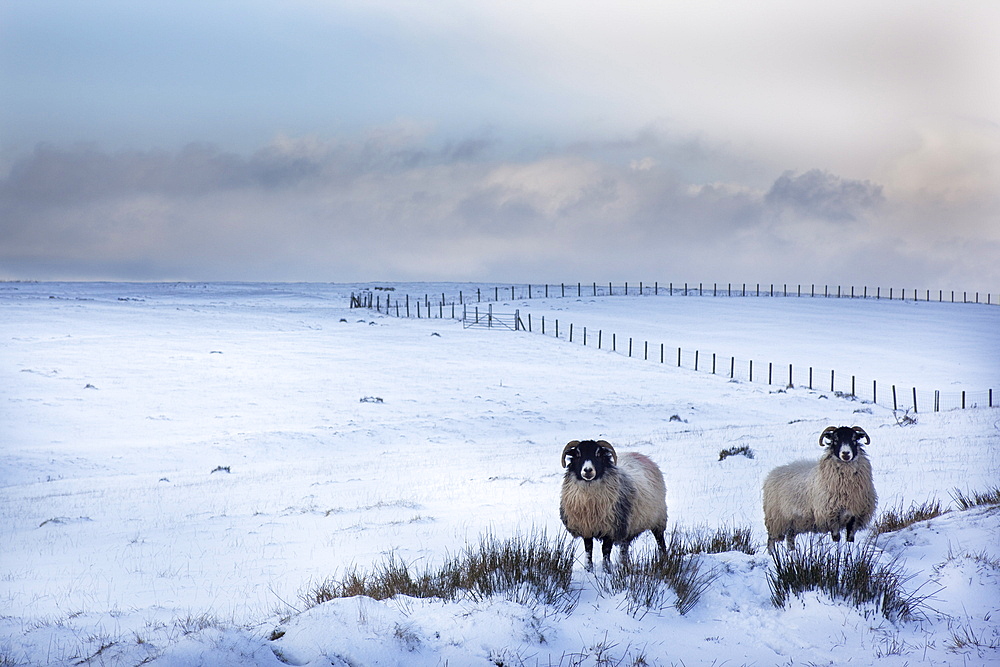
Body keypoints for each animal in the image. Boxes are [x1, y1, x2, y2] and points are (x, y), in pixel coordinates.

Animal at [560, 440, 668, 572]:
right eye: (578, 454)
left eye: (598, 454)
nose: (588, 470)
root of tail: (642, 456)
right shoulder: (587, 528)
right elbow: (588, 550)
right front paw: (589, 569)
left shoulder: (611, 528)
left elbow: (606, 551)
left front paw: (606, 570)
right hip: (630, 526)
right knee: (624, 548)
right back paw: (623, 564)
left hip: (658, 519)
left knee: (660, 542)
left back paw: (664, 560)